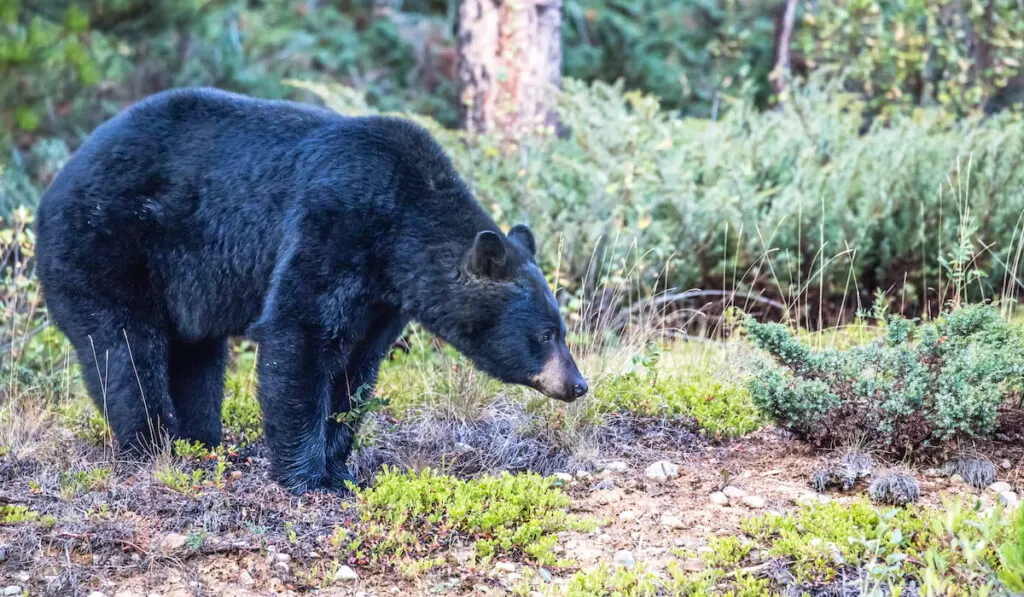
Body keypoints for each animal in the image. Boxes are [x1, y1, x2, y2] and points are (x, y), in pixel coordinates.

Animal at [36, 86, 589, 493]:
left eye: (560, 330)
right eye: (545, 335)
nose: (578, 384)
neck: (401, 225)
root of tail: (56, 182)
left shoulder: (383, 295)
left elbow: (357, 366)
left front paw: (341, 469)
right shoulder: (333, 224)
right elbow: (299, 334)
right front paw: (306, 478)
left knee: (196, 357)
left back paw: (202, 441)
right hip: (108, 246)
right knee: (127, 351)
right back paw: (154, 445)